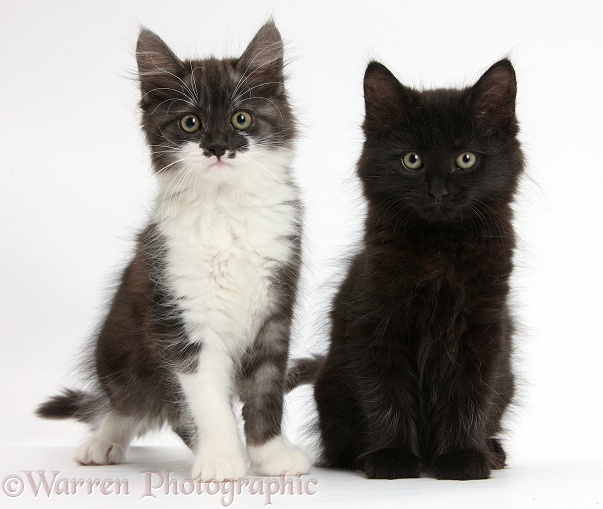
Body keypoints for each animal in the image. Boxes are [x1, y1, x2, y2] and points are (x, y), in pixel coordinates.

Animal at [38, 19, 312, 480]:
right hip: (116, 349)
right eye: (190, 123)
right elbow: (206, 401)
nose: (217, 147)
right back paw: (104, 441)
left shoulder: (274, 311)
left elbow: (265, 388)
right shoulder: (181, 317)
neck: (225, 211)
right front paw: (221, 459)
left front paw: (269, 453)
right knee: (127, 403)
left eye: (241, 118)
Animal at [292, 59, 524, 480]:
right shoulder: (377, 324)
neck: (439, 250)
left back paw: (492, 451)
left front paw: (462, 457)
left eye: (466, 159)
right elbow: (386, 391)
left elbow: (471, 394)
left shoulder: (483, 329)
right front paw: (393, 457)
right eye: (411, 159)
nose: (438, 191)